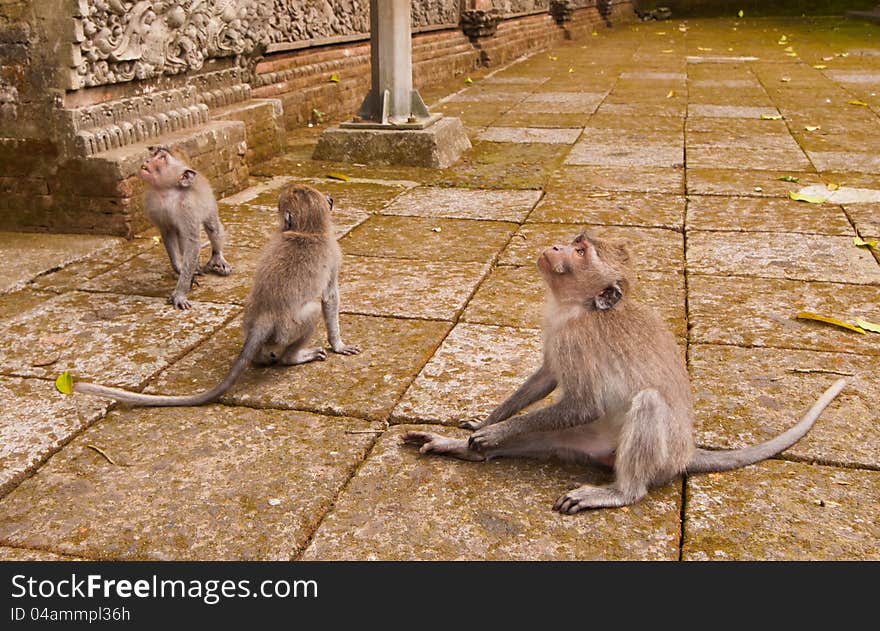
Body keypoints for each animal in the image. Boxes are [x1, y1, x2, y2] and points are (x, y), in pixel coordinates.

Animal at [71, 185, 360, 408]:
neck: (308, 230)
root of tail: (264, 317)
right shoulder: (334, 256)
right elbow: (330, 298)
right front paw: (338, 344)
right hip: (290, 327)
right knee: (312, 311)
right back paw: (294, 357)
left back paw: (262, 356)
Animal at [139, 146, 232, 308]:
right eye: (155, 154)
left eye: (162, 158)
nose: (148, 160)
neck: (167, 192)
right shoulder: (153, 204)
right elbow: (167, 233)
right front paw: (180, 268)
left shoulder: (187, 207)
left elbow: (193, 241)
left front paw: (180, 293)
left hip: (210, 204)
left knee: (212, 228)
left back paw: (217, 257)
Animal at [404, 232, 844, 512]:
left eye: (580, 251)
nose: (556, 245)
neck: (576, 308)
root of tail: (686, 453)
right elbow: (547, 377)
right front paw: (484, 425)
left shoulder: (579, 339)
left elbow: (583, 403)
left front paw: (493, 432)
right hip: (579, 441)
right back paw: (460, 449)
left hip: (659, 456)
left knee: (647, 405)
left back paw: (620, 492)